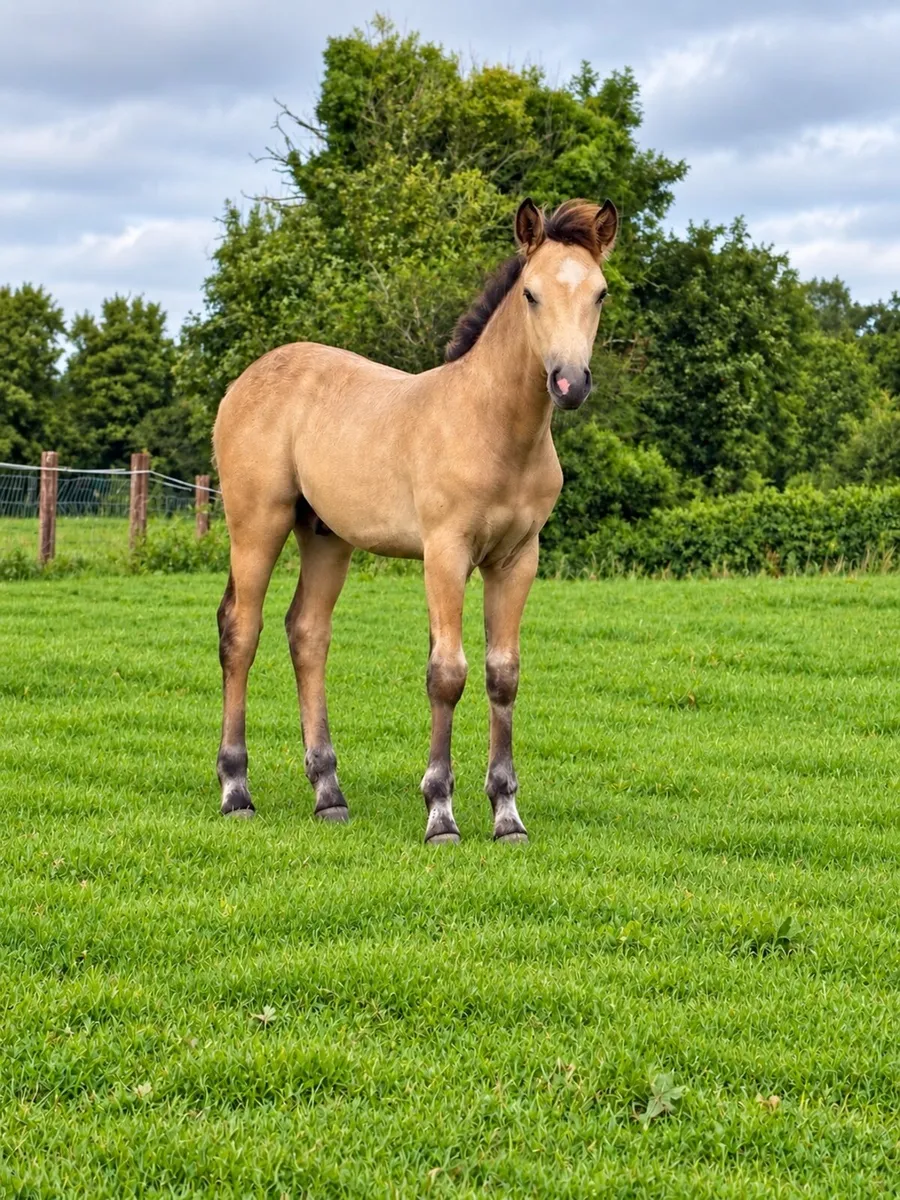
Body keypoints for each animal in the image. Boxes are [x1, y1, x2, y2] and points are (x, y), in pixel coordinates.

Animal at [212, 196, 618, 843]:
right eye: (531, 293)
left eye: (600, 293)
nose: (569, 382)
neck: (493, 429)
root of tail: (246, 380)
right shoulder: (445, 552)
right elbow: (446, 673)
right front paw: (441, 815)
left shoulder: (517, 559)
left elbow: (503, 674)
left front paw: (507, 816)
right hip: (257, 524)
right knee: (240, 631)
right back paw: (236, 791)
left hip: (326, 536)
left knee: (308, 634)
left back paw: (329, 794)